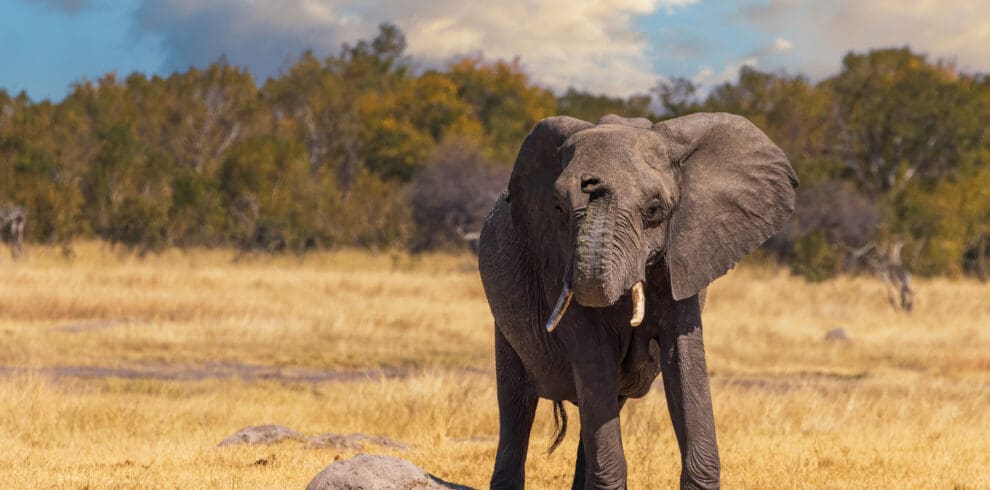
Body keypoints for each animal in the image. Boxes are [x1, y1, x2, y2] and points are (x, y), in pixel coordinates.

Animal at [477, 113, 797, 489]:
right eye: (558, 209)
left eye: (655, 210)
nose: (593, 183)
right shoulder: (556, 260)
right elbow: (592, 353)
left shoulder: (685, 257)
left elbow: (684, 360)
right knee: (518, 404)